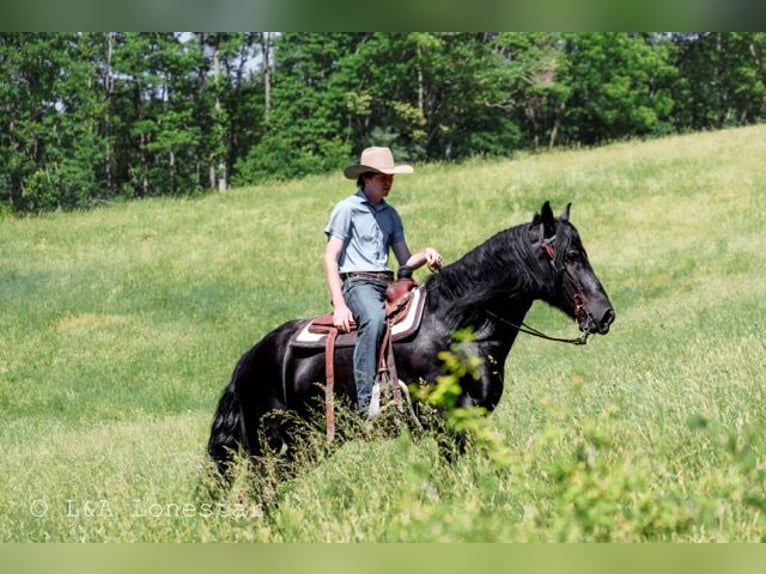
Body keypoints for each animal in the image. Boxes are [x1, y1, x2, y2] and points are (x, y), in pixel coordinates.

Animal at [206, 201, 615, 476]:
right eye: (571, 255)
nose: (604, 313)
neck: (455, 326)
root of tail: (247, 360)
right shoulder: (453, 419)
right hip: (269, 445)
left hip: (305, 445)